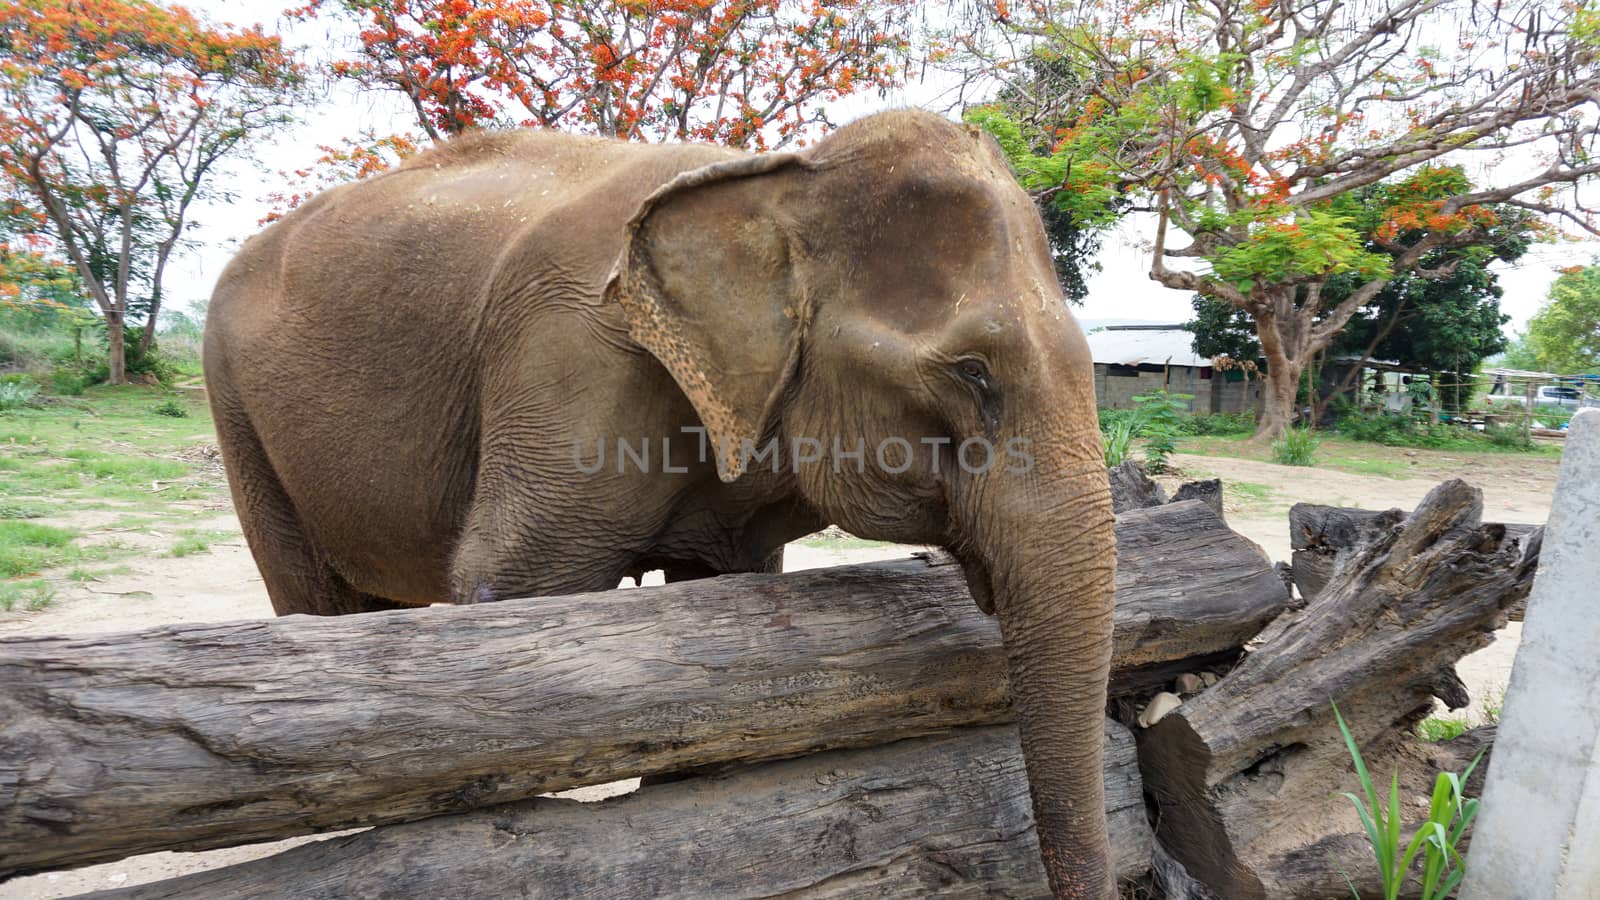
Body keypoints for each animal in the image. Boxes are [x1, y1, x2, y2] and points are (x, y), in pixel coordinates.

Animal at [206, 108, 1120, 890]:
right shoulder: (568, 357)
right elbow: (509, 593)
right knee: (315, 604)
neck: (777, 177)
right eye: (973, 374)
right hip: (235, 409)